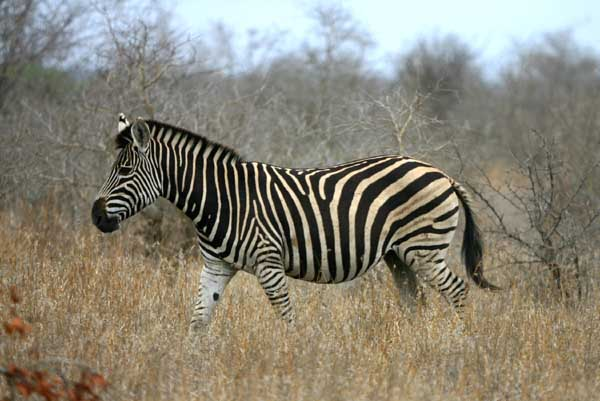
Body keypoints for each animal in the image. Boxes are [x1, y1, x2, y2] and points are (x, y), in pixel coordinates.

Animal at [92, 113, 496, 332]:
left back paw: (463, 345)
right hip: (399, 255)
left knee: (457, 291)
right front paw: (190, 366)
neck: (220, 199)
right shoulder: (216, 266)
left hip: (423, 248)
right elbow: (198, 319)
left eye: (124, 171)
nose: (96, 216)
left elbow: (287, 318)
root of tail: (441, 173)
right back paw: (413, 346)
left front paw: (295, 360)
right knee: (415, 302)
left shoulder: (268, 263)